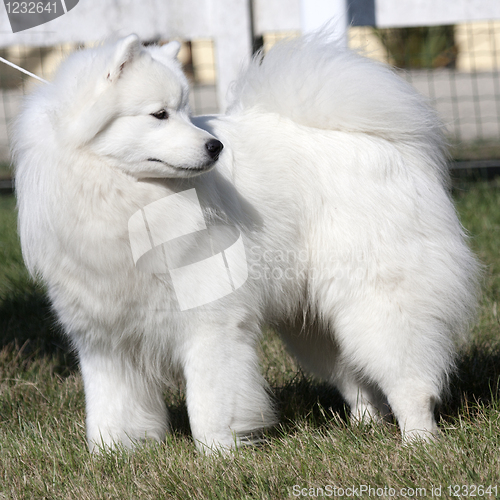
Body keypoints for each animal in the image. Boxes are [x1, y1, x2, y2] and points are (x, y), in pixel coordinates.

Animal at [13, 33, 478, 452]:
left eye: (186, 112)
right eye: (159, 114)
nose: (214, 146)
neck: (124, 200)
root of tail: (383, 142)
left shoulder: (210, 323)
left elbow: (210, 401)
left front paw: (218, 454)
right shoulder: (103, 341)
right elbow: (111, 407)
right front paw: (111, 454)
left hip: (376, 303)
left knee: (408, 378)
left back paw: (419, 440)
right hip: (314, 323)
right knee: (355, 378)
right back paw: (365, 427)